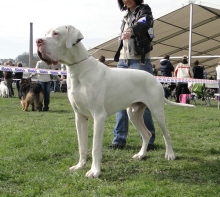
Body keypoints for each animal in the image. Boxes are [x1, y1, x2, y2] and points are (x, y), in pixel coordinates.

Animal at [35, 25, 194, 178]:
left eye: (56, 33)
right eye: (46, 33)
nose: (38, 41)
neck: (78, 69)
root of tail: (154, 79)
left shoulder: (99, 116)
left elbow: (95, 148)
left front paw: (95, 171)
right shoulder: (79, 117)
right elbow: (82, 146)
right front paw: (80, 166)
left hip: (157, 111)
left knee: (166, 134)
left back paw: (170, 154)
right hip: (133, 114)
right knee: (147, 134)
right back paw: (141, 155)